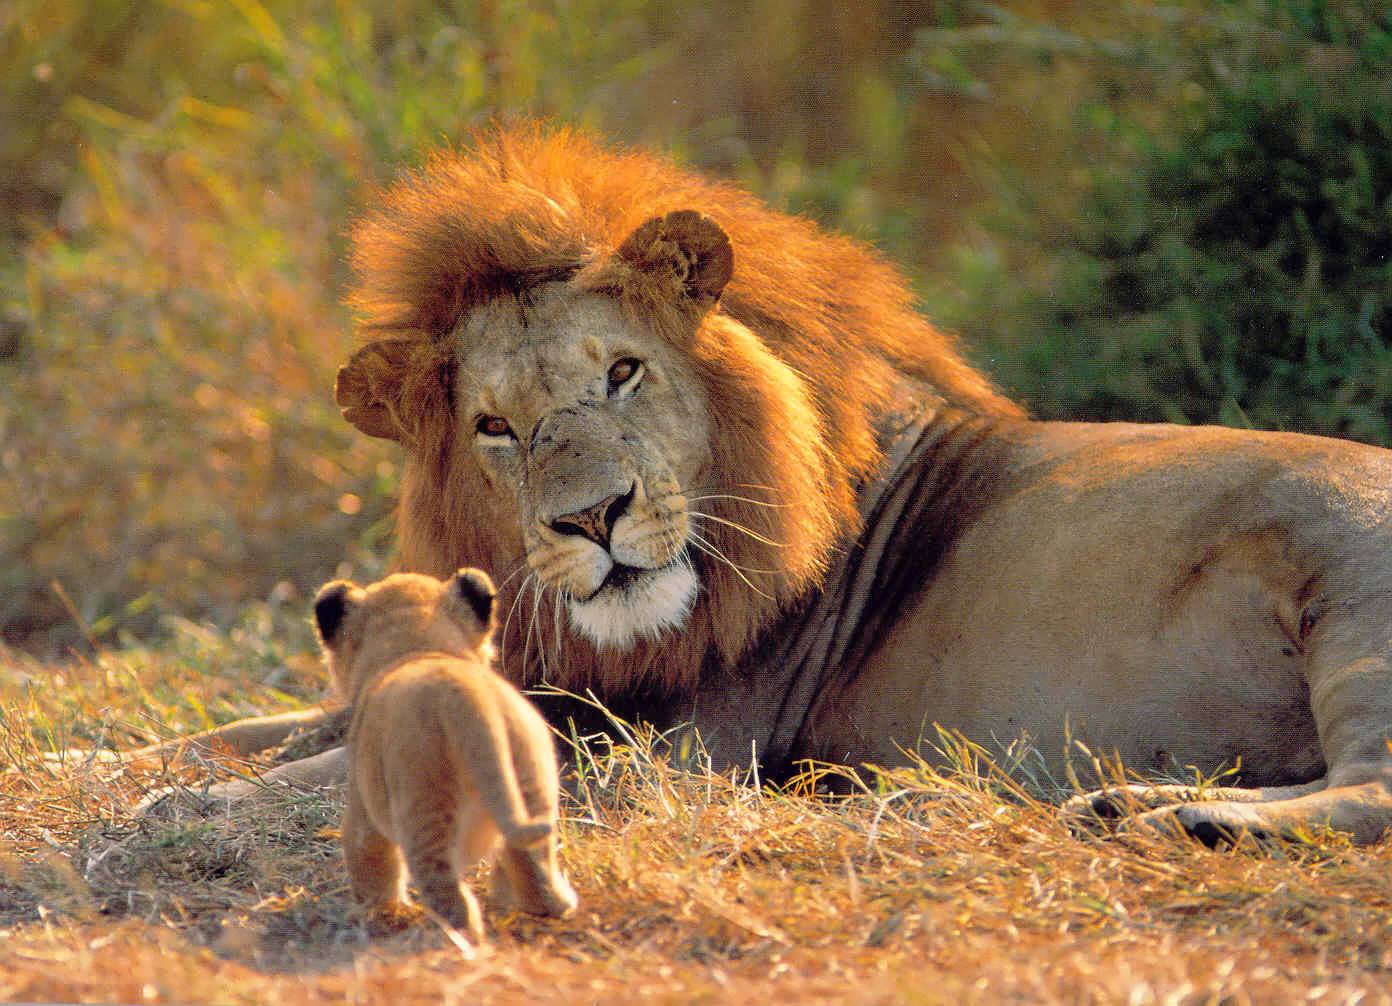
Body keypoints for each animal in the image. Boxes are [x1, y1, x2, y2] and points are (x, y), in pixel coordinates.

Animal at [179, 123, 1386, 851]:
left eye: (623, 371)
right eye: (496, 428)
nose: (592, 517)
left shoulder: (667, 747)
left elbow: (334, 755)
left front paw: (194, 806)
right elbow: (261, 726)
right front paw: (150, 763)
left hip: (1352, 599)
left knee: (1373, 785)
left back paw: (1175, 819)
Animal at [315, 567, 576, 935]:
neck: (418, 648)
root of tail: (467, 701)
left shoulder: (363, 803)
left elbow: (366, 853)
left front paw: (374, 912)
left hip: (423, 806)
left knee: (447, 892)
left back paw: (453, 937)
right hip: (531, 782)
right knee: (531, 862)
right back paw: (553, 904)